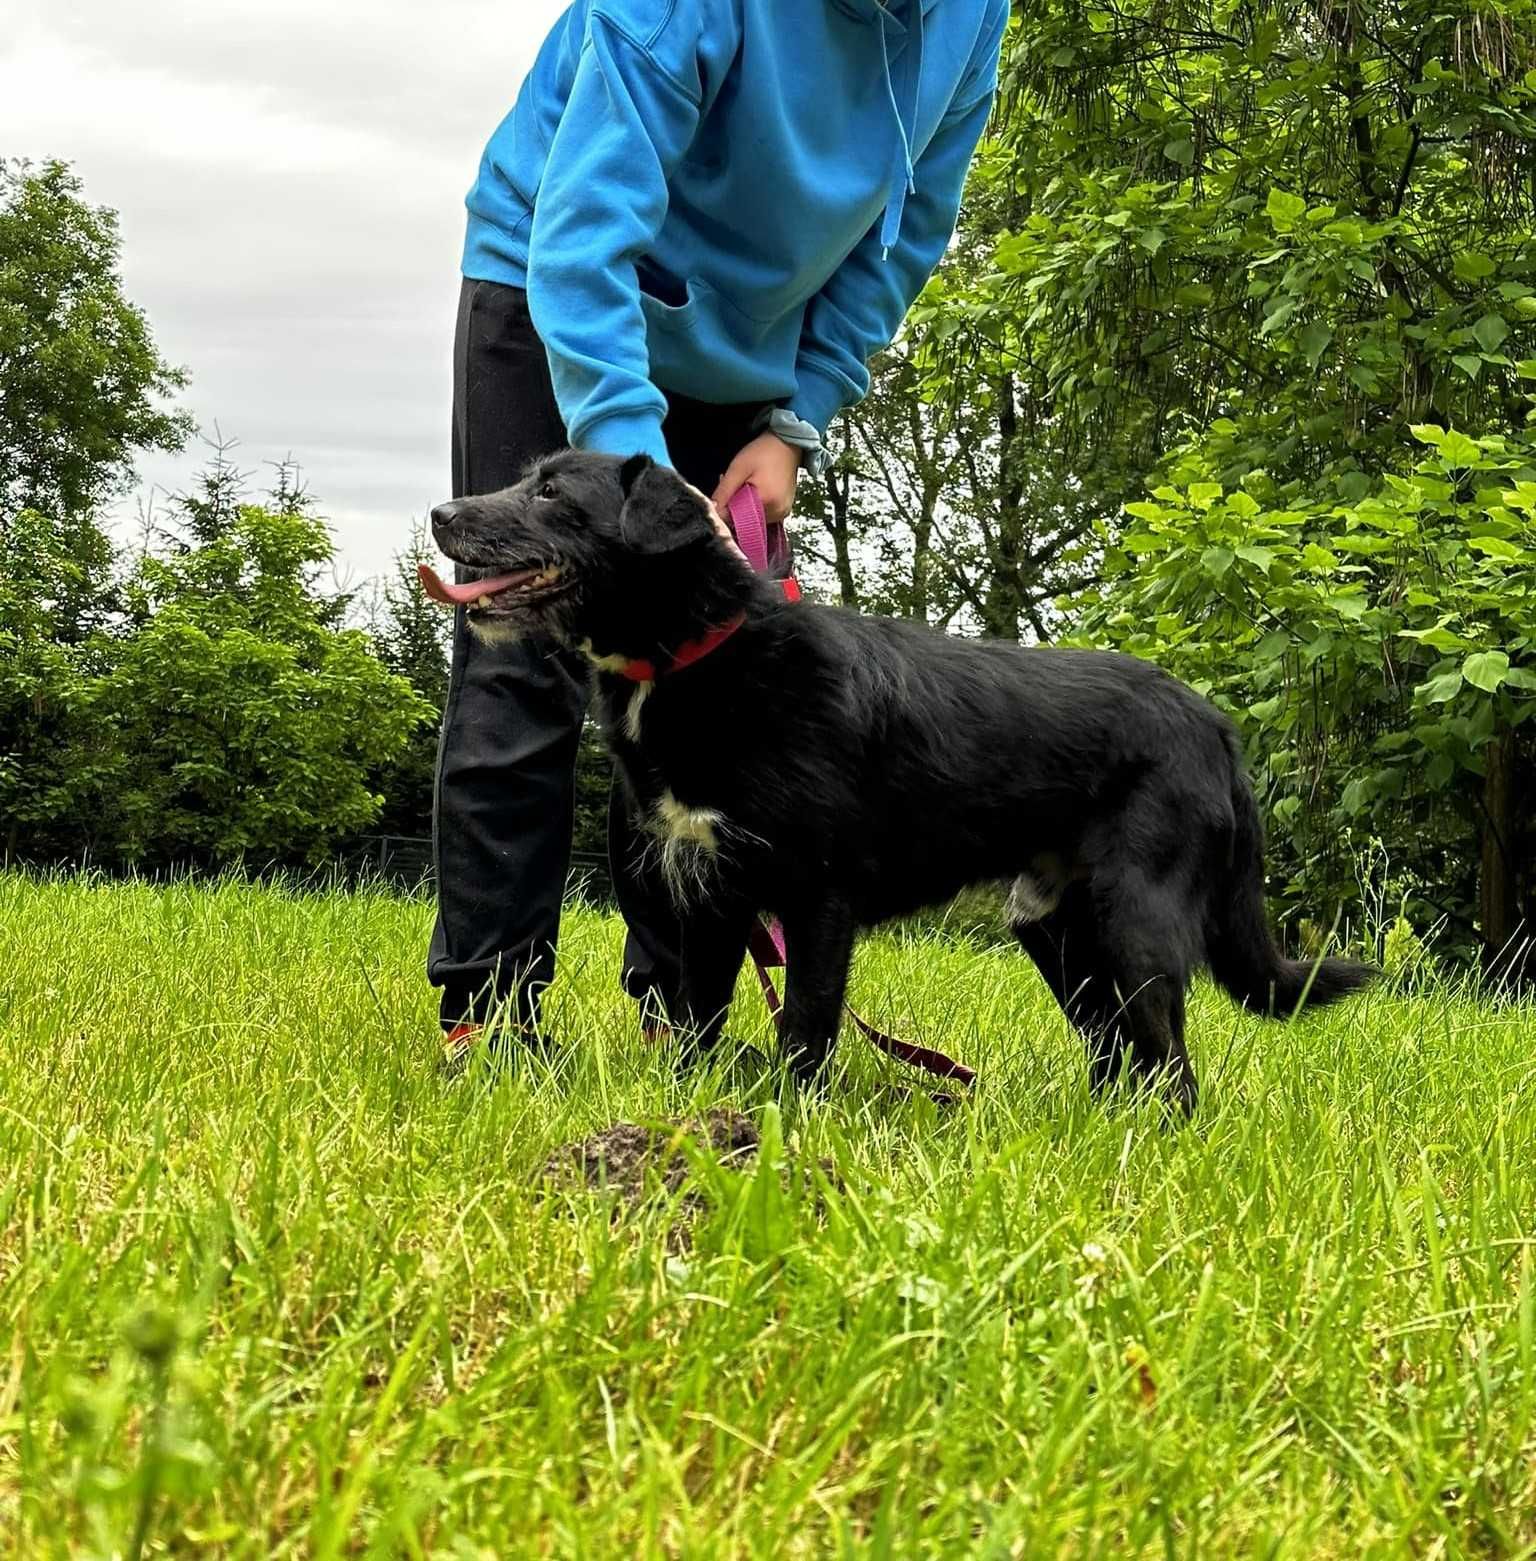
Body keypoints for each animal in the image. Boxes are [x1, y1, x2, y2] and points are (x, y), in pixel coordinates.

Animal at [424, 452, 1373, 1111]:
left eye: (553, 492)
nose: (440, 511)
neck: (709, 655)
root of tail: (1216, 727)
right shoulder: (711, 900)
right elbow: (698, 1024)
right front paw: (691, 1113)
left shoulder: (817, 902)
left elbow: (806, 1028)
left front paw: (786, 1125)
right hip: (1056, 929)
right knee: (1120, 1056)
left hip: (1135, 922)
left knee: (1171, 1067)